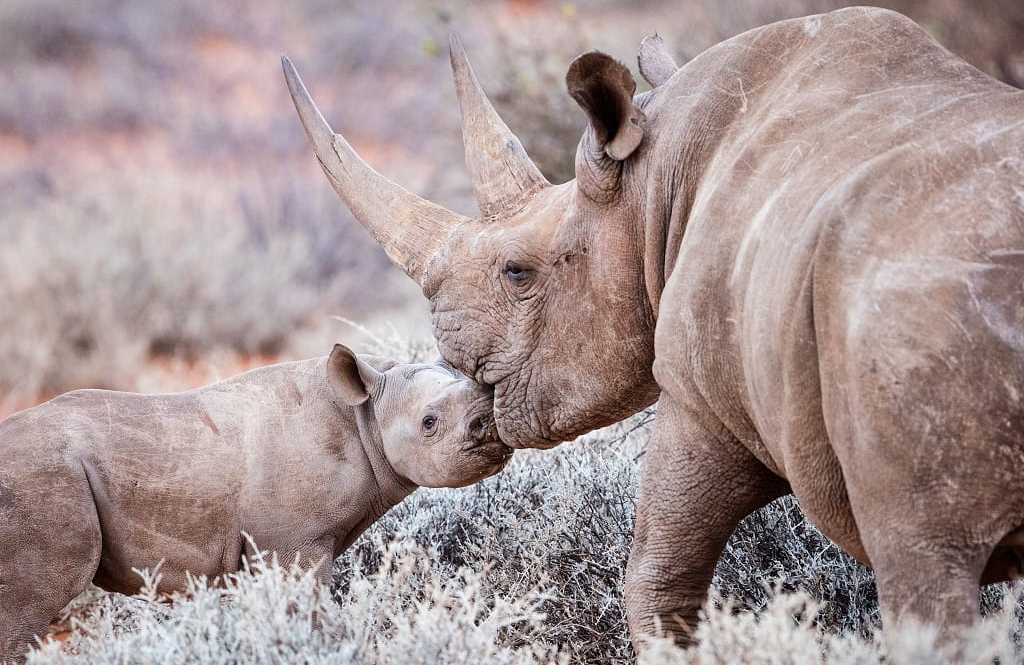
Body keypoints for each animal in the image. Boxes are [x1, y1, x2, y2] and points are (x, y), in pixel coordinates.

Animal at [0, 346, 509, 662]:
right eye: (429, 423)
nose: (493, 430)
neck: (364, 414)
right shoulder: (296, 544)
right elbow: (309, 617)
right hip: (43, 480)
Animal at [283, 6, 1024, 645]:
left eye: (517, 273)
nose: (454, 352)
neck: (650, 185)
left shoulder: (698, 396)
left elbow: (658, 575)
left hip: (917, 313)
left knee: (926, 576)